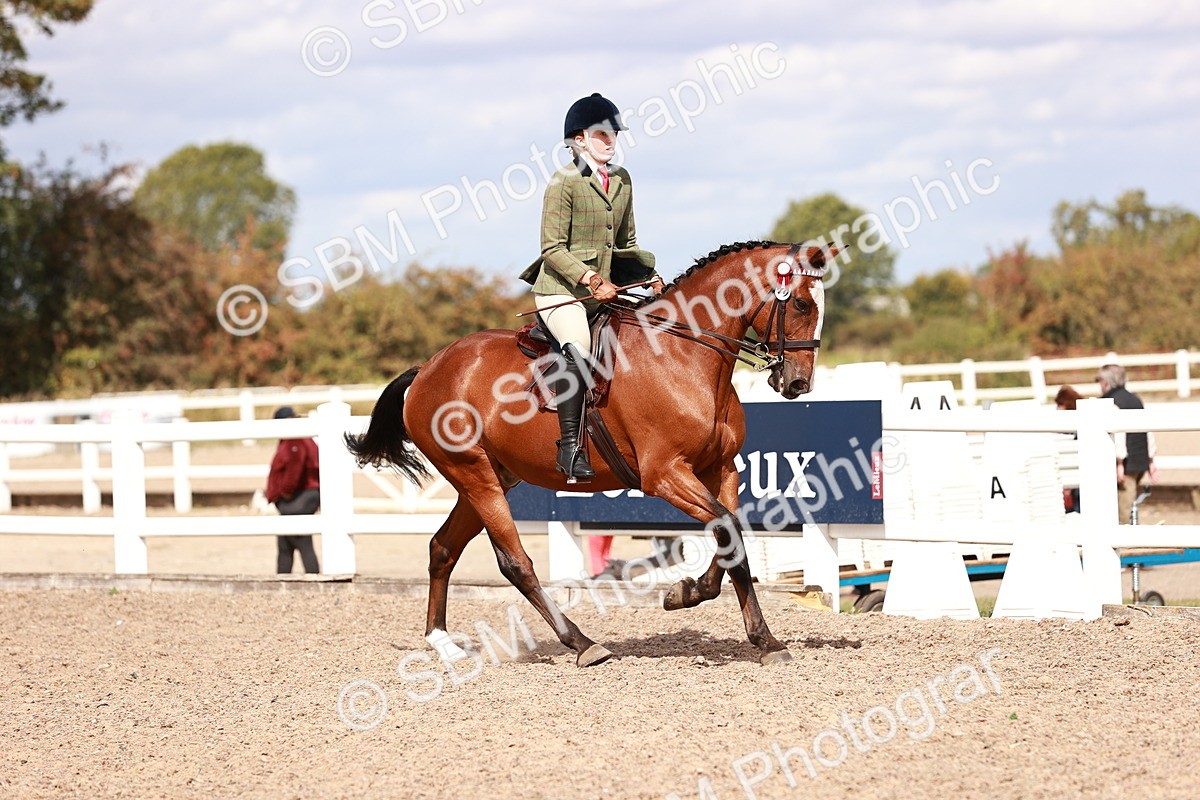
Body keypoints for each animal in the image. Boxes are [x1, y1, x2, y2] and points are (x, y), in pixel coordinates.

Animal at [346, 240, 830, 667]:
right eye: (802, 305)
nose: (797, 383)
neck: (685, 354)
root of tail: (427, 368)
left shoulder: (721, 469)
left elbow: (732, 538)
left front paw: (733, 621)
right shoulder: (665, 474)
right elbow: (728, 531)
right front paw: (708, 606)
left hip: (491, 477)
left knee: (442, 548)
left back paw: (443, 643)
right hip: (474, 475)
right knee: (515, 563)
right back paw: (582, 643)